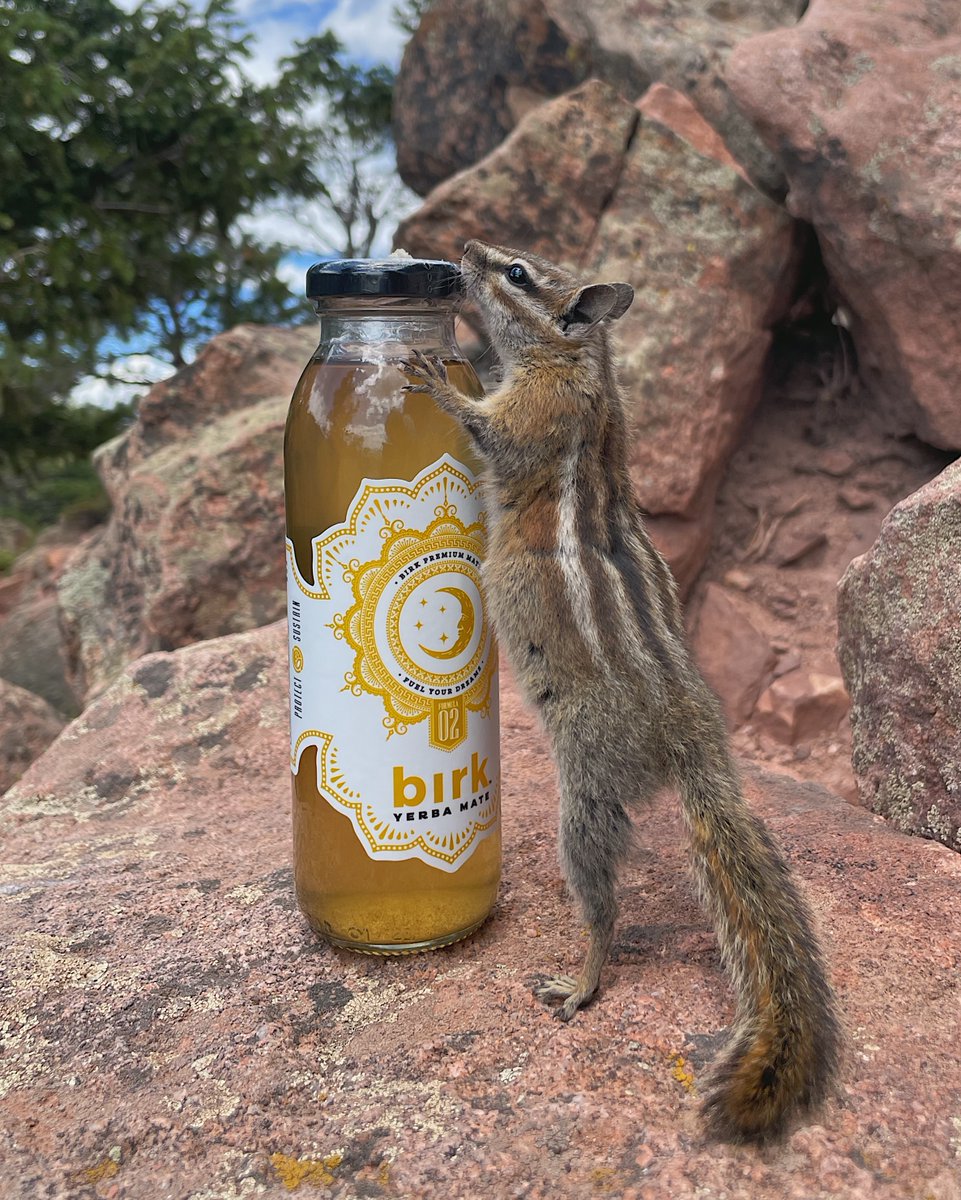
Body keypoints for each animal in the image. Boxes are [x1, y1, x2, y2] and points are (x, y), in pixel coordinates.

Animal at [402, 239, 840, 1143]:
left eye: (517, 273)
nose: (462, 252)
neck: (577, 361)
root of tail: (697, 741)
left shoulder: (535, 417)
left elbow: (492, 431)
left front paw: (436, 376)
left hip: (587, 792)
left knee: (603, 907)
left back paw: (579, 983)